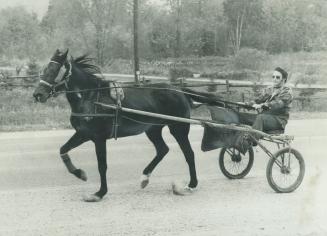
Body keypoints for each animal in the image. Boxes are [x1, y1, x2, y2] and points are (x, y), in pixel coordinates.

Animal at [32, 48, 200, 202]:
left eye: (55, 70)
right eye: (45, 69)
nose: (37, 94)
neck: (91, 98)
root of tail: (180, 90)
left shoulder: (99, 138)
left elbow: (102, 165)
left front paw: (99, 193)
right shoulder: (83, 134)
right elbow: (63, 150)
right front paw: (80, 173)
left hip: (178, 128)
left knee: (189, 153)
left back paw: (191, 184)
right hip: (153, 129)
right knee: (162, 149)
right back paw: (144, 177)